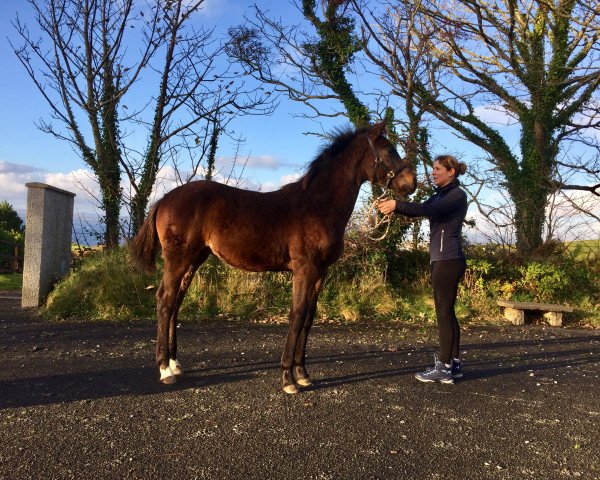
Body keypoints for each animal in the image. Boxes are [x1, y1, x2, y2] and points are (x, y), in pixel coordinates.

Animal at [129, 121, 414, 394]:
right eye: (390, 150)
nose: (412, 184)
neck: (318, 205)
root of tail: (165, 198)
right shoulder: (304, 269)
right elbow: (297, 315)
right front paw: (288, 378)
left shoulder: (320, 273)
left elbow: (309, 318)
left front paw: (303, 373)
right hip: (177, 259)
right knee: (165, 300)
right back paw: (165, 369)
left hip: (194, 259)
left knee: (176, 302)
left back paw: (175, 364)